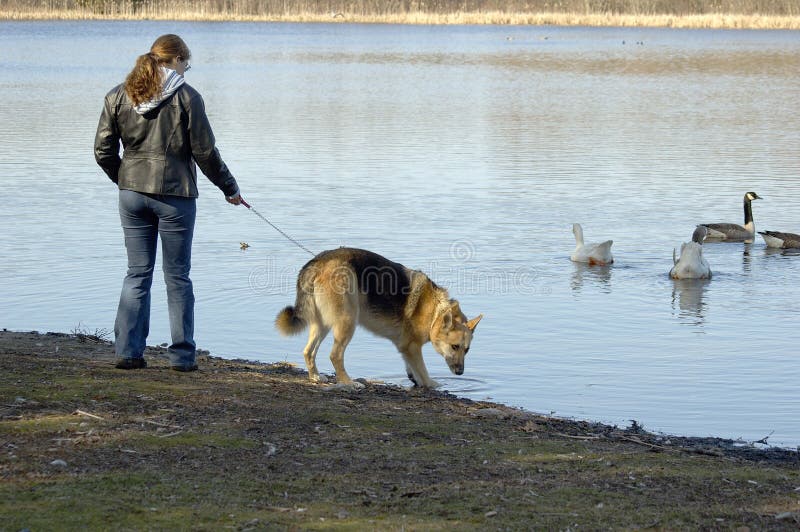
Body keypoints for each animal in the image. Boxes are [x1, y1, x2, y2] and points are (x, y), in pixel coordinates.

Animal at [276, 247, 482, 388]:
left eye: (467, 350)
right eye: (455, 347)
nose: (460, 373)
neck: (435, 313)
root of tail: (318, 261)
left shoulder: (405, 348)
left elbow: (412, 369)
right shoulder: (413, 347)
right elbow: (424, 373)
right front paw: (434, 385)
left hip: (322, 324)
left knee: (308, 351)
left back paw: (315, 377)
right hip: (347, 323)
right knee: (335, 355)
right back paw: (349, 383)